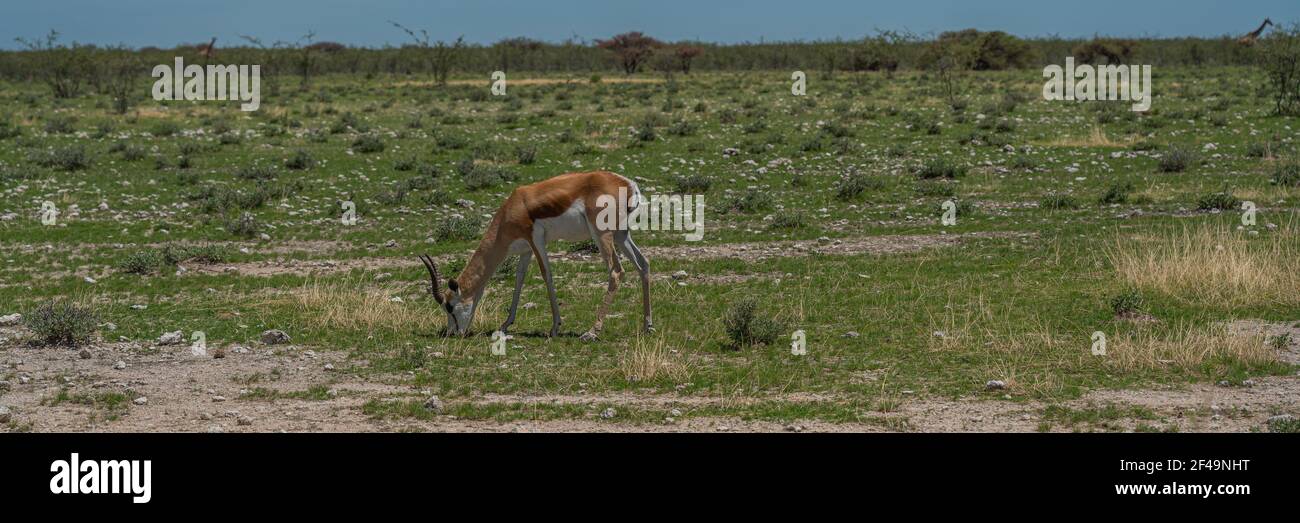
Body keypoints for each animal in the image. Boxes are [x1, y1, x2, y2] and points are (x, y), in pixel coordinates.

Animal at [418, 171, 650, 340]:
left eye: (449, 306)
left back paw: (591, 332)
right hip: (621, 234)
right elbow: (519, 279)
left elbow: (546, 275)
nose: (452, 333)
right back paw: (648, 326)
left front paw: (555, 327)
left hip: (602, 234)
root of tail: (629, 185)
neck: (513, 208)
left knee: (616, 272)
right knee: (643, 264)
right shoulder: (526, 249)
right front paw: (505, 325)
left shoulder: (536, 239)